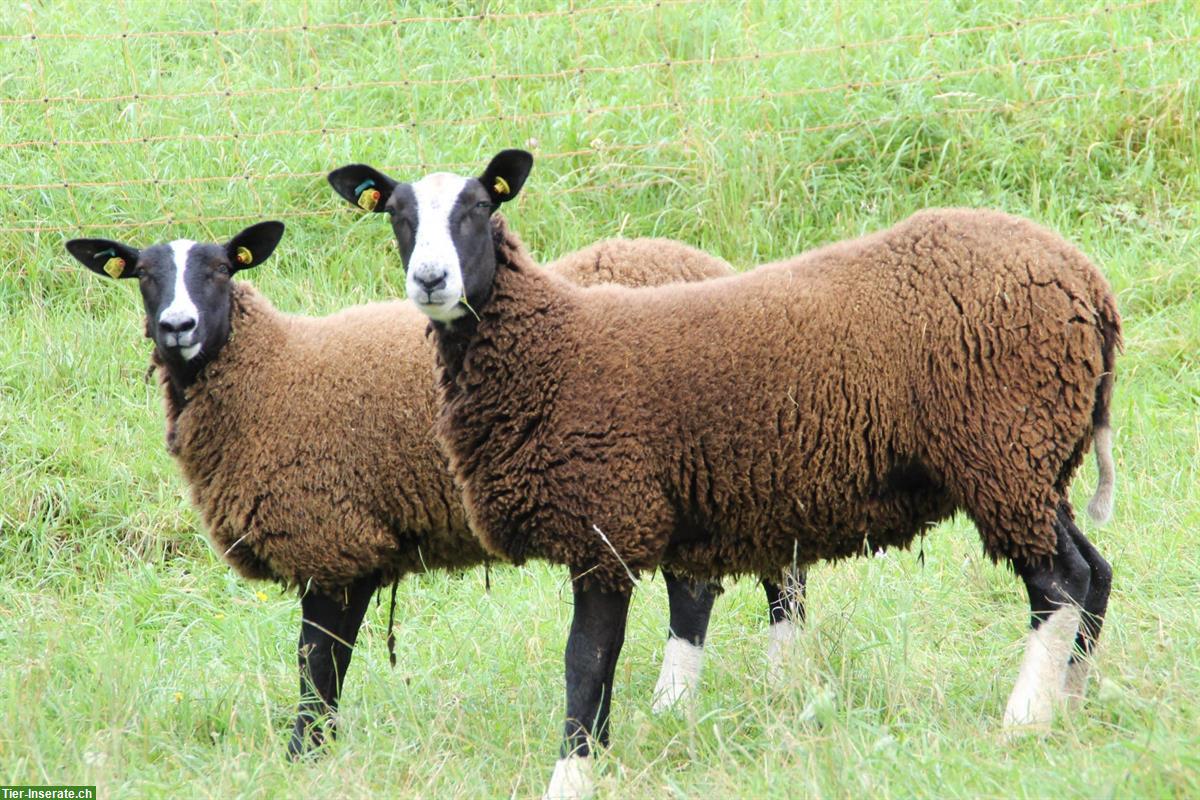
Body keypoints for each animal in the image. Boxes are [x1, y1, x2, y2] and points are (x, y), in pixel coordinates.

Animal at [63, 220, 768, 761]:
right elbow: (324, 666)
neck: (272, 372)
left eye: (218, 270)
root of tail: (707, 262)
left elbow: (317, 666)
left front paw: (303, 757)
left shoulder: (335, 540)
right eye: (143, 275)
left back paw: (692, 700)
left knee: (710, 590)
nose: (177, 327)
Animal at [381, 150, 1121, 799]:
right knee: (1095, 571)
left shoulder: (607, 527)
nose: (431, 281)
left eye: (480, 207)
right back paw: (1071, 702)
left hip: (1002, 453)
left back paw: (1025, 720)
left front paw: (572, 777)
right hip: (1037, 463)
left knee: (1060, 582)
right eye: (397, 215)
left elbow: (586, 665)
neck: (550, 348)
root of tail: (1086, 283)